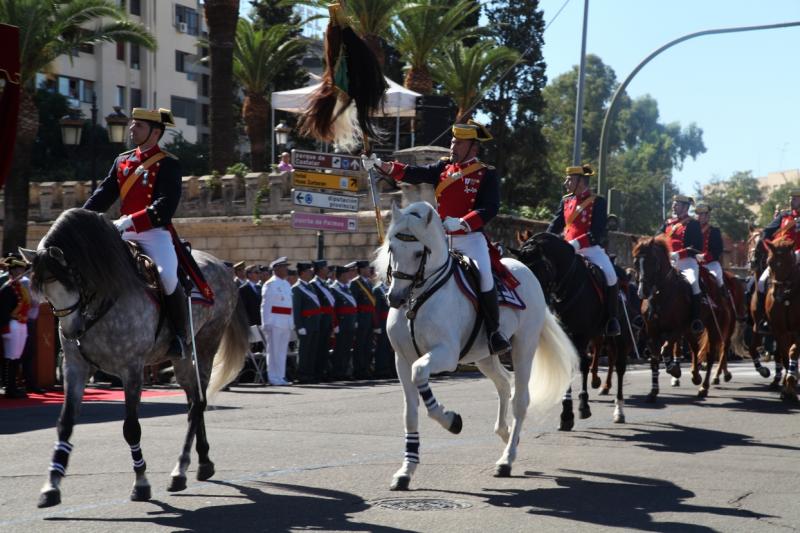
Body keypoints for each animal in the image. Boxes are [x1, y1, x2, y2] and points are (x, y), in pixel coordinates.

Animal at [21, 208, 247, 508]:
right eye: (44, 291)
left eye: (73, 277)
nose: (71, 331)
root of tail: (223, 266)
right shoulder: (75, 367)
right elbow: (65, 424)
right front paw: (51, 486)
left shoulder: (132, 369)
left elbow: (131, 428)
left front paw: (141, 483)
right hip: (184, 359)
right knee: (193, 402)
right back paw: (203, 462)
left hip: (206, 345)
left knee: (198, 403)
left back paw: (180, 470)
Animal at [372, 202, 580, 488]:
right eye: (392, 248)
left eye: (417, 252)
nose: (395, 298)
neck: (419, 299)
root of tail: (526, 271)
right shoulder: (401, 360)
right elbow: (410, 414)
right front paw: (406, 471)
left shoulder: (445, 355)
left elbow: (420, 373)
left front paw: (451, 420)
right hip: (482, 356)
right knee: (504, 384)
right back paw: (505, 433)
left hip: (523, 347)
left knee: (520, 400)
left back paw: (507, 459)